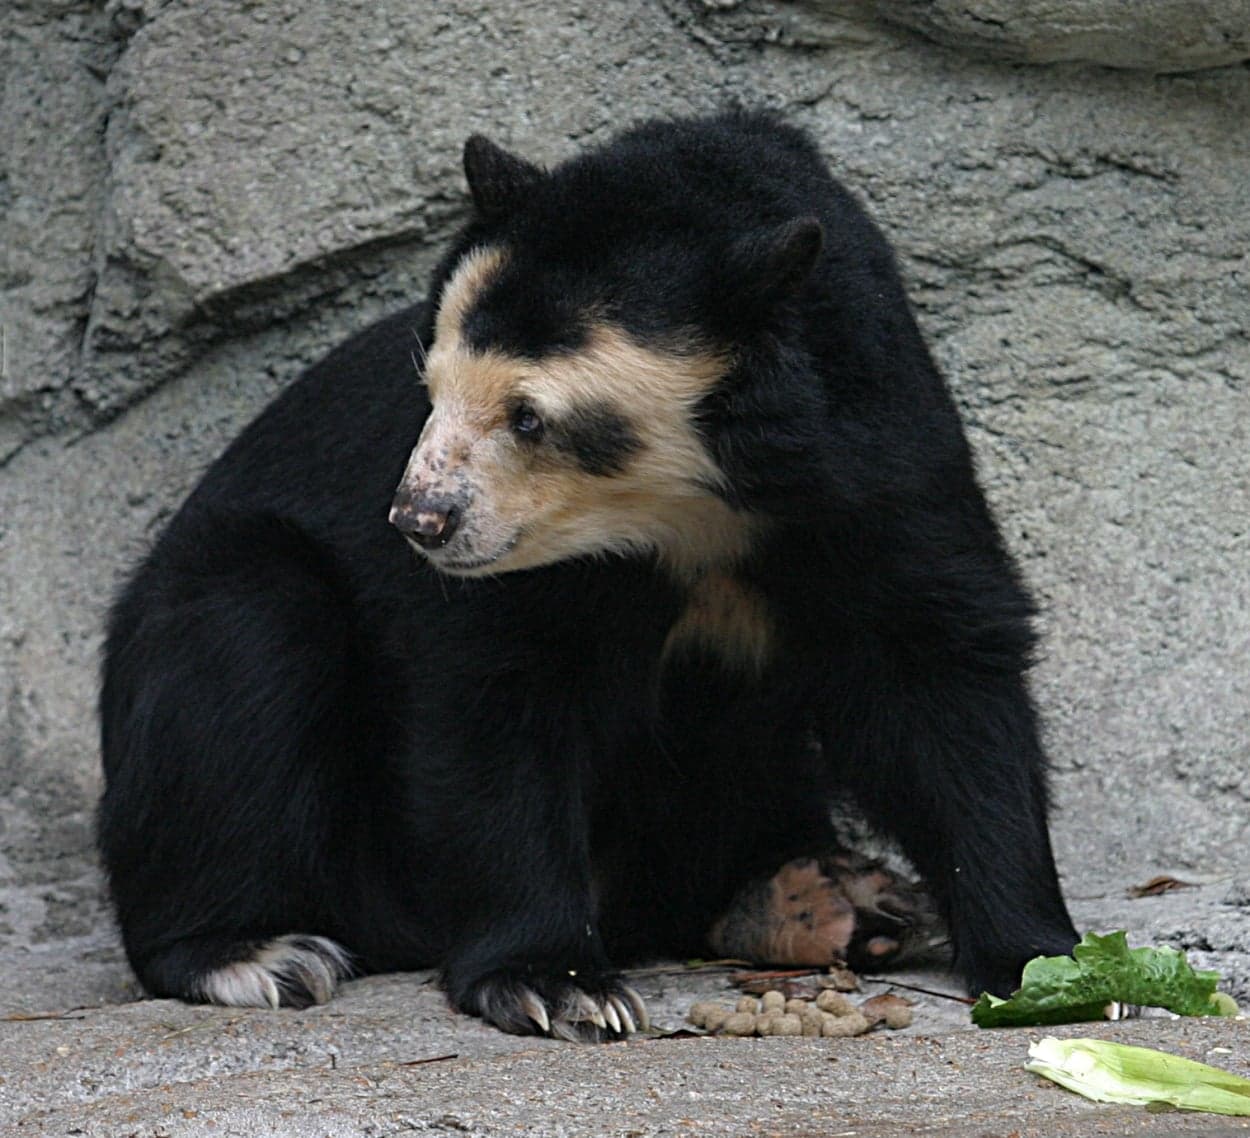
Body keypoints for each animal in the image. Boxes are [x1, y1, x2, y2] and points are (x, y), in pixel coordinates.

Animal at [98, 110, 1079, 1041]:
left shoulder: (875, 464)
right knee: (245, 642)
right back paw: (251, 950)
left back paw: (831, 901)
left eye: (530, 417)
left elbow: (938, 672)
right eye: (432, 387)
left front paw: (1045, 966)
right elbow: (495, 702)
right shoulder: (524, 568)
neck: (687, 507)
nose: (420, 520)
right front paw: (554, 983)